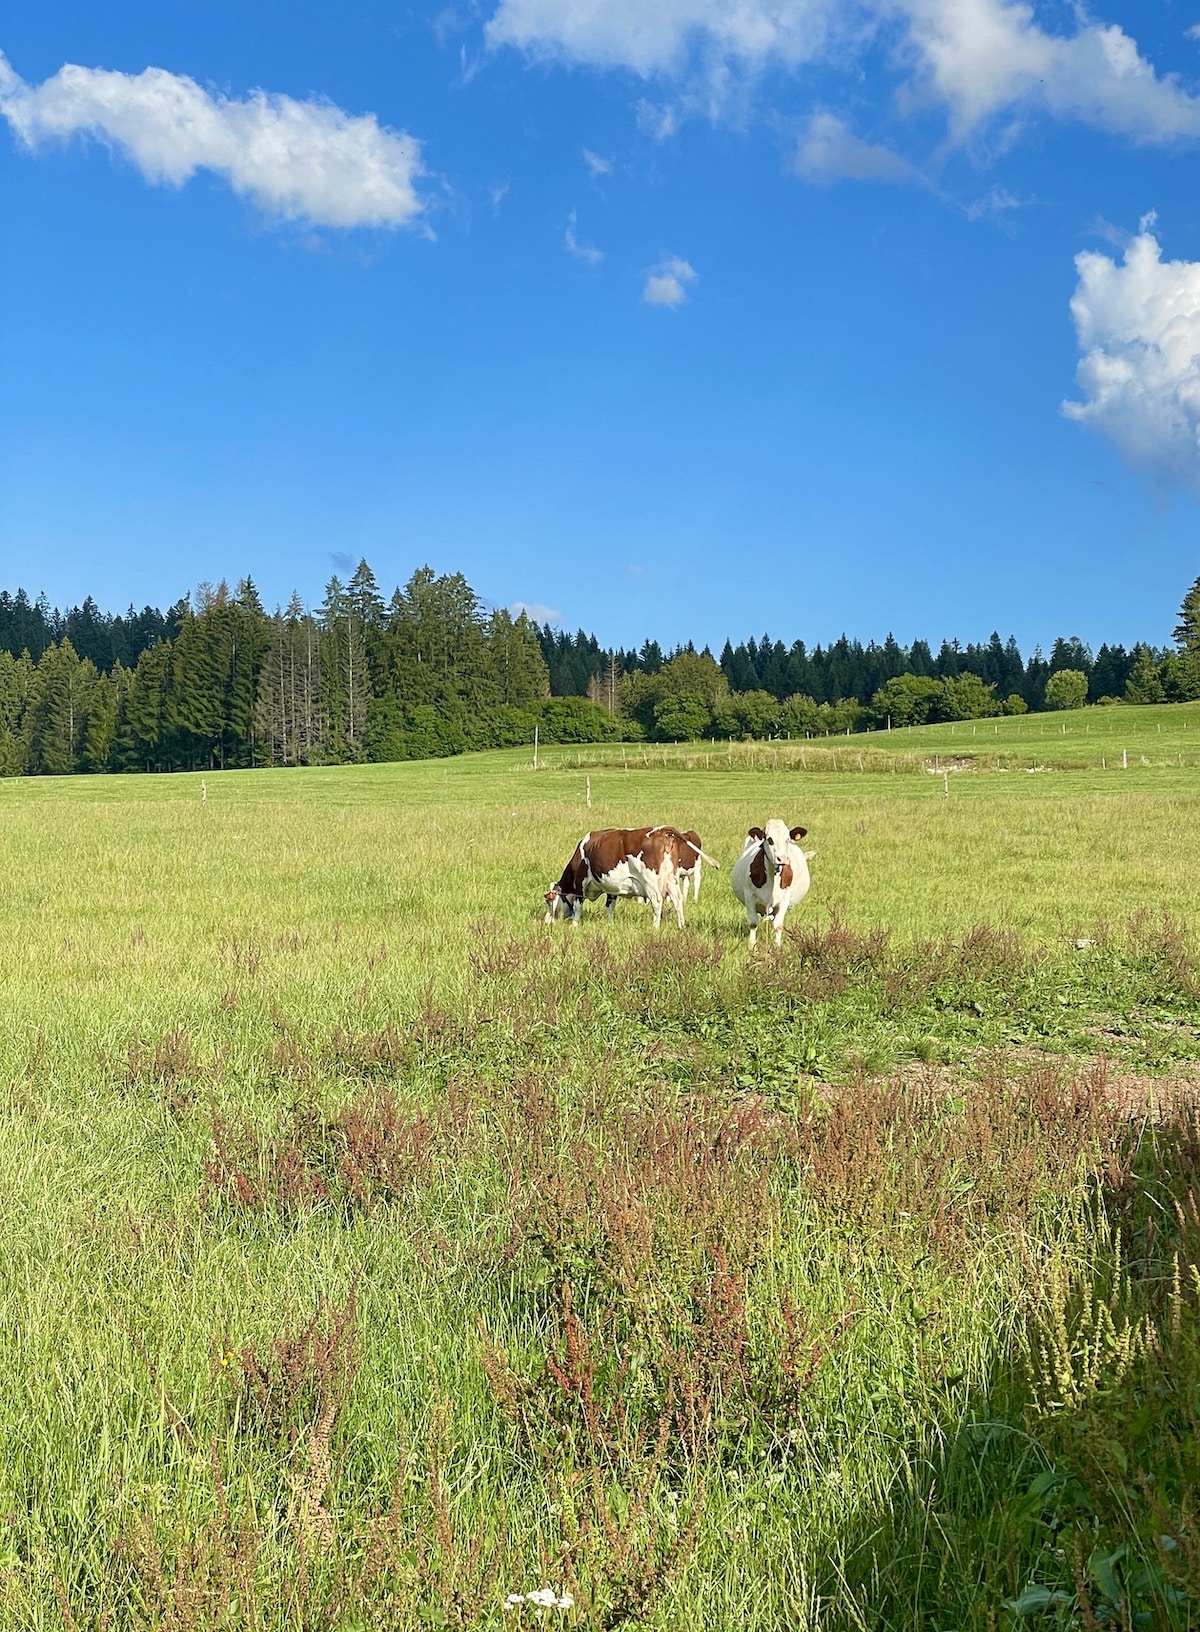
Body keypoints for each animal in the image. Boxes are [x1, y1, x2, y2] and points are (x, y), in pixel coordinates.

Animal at [545, 829, 695, 933]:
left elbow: (577, 906)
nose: (547, 922)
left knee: (657, 902)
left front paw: (574, 925)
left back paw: (655, 927)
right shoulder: (612, 887)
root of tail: (662, 831)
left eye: (549, 901)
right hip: (671, 879)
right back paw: (681, 926)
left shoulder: (579, 882)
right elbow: (609, 906)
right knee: (678, 900)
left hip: (651, 882)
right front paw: (610, 924)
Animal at [728, 812, 813, 946]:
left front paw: (777, 946)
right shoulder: (749, 895)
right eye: (769, 839)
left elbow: (778, 925)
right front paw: (751, 945)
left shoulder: (785, 899)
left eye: (787, 839)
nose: (782, 859)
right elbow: (753, 923)